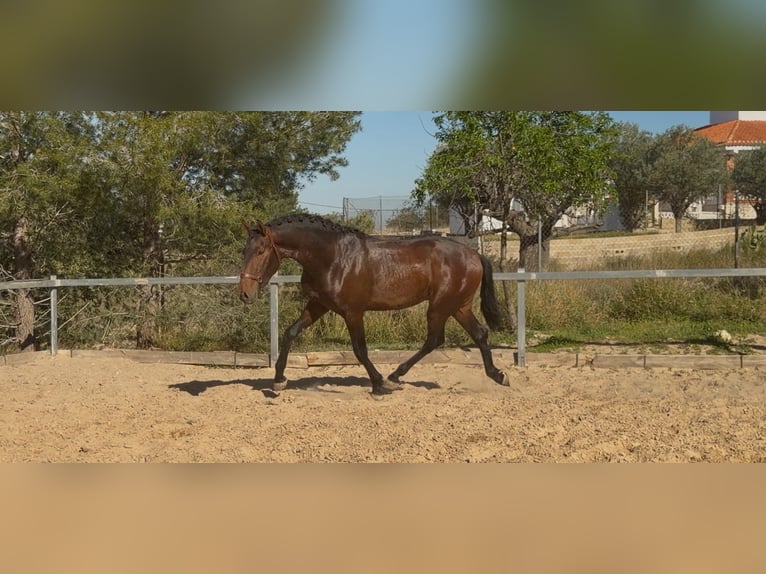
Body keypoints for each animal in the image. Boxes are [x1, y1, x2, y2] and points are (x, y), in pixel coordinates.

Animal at [238, 214, 510, 395]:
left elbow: (360, 350)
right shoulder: (319, 305)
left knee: (435, 339)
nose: (245, 294)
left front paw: (378, 384)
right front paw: (278, 380)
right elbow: (290, 333)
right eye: (244, 251)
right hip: (458, 306)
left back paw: (393, 377)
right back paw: (498, 375)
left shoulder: (352, 312)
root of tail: (473, 254)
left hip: (441, 306)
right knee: (479, 333)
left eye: (260, 252)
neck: (332, 256)